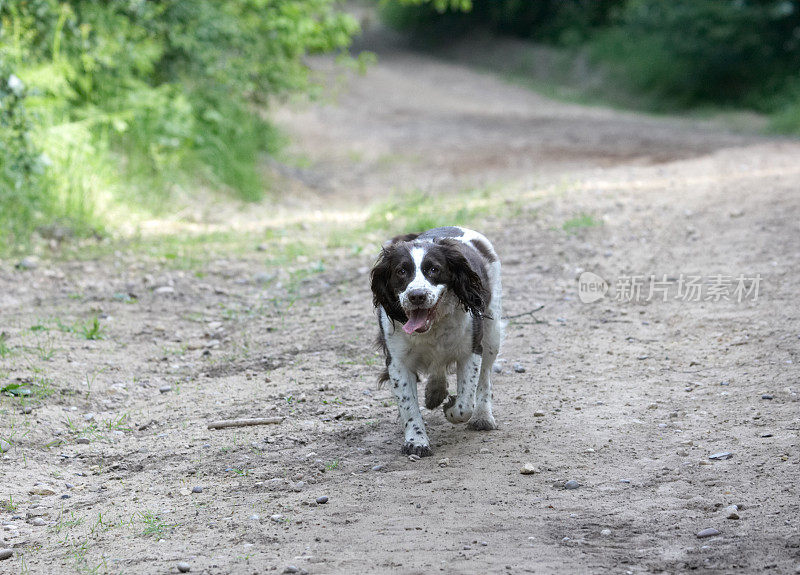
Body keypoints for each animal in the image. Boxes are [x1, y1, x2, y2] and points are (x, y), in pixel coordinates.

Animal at [368, 227, 500, 456]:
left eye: (433, 269)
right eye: (401, 271)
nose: (417, 296)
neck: (432, 328)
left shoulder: (471, 350)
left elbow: (465, 405)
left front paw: (451, 409)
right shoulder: (397, 362)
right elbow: (408, 406)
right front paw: (416, 441)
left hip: (493, 335)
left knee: (485, 377)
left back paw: (483, 417)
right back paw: (434, 392)